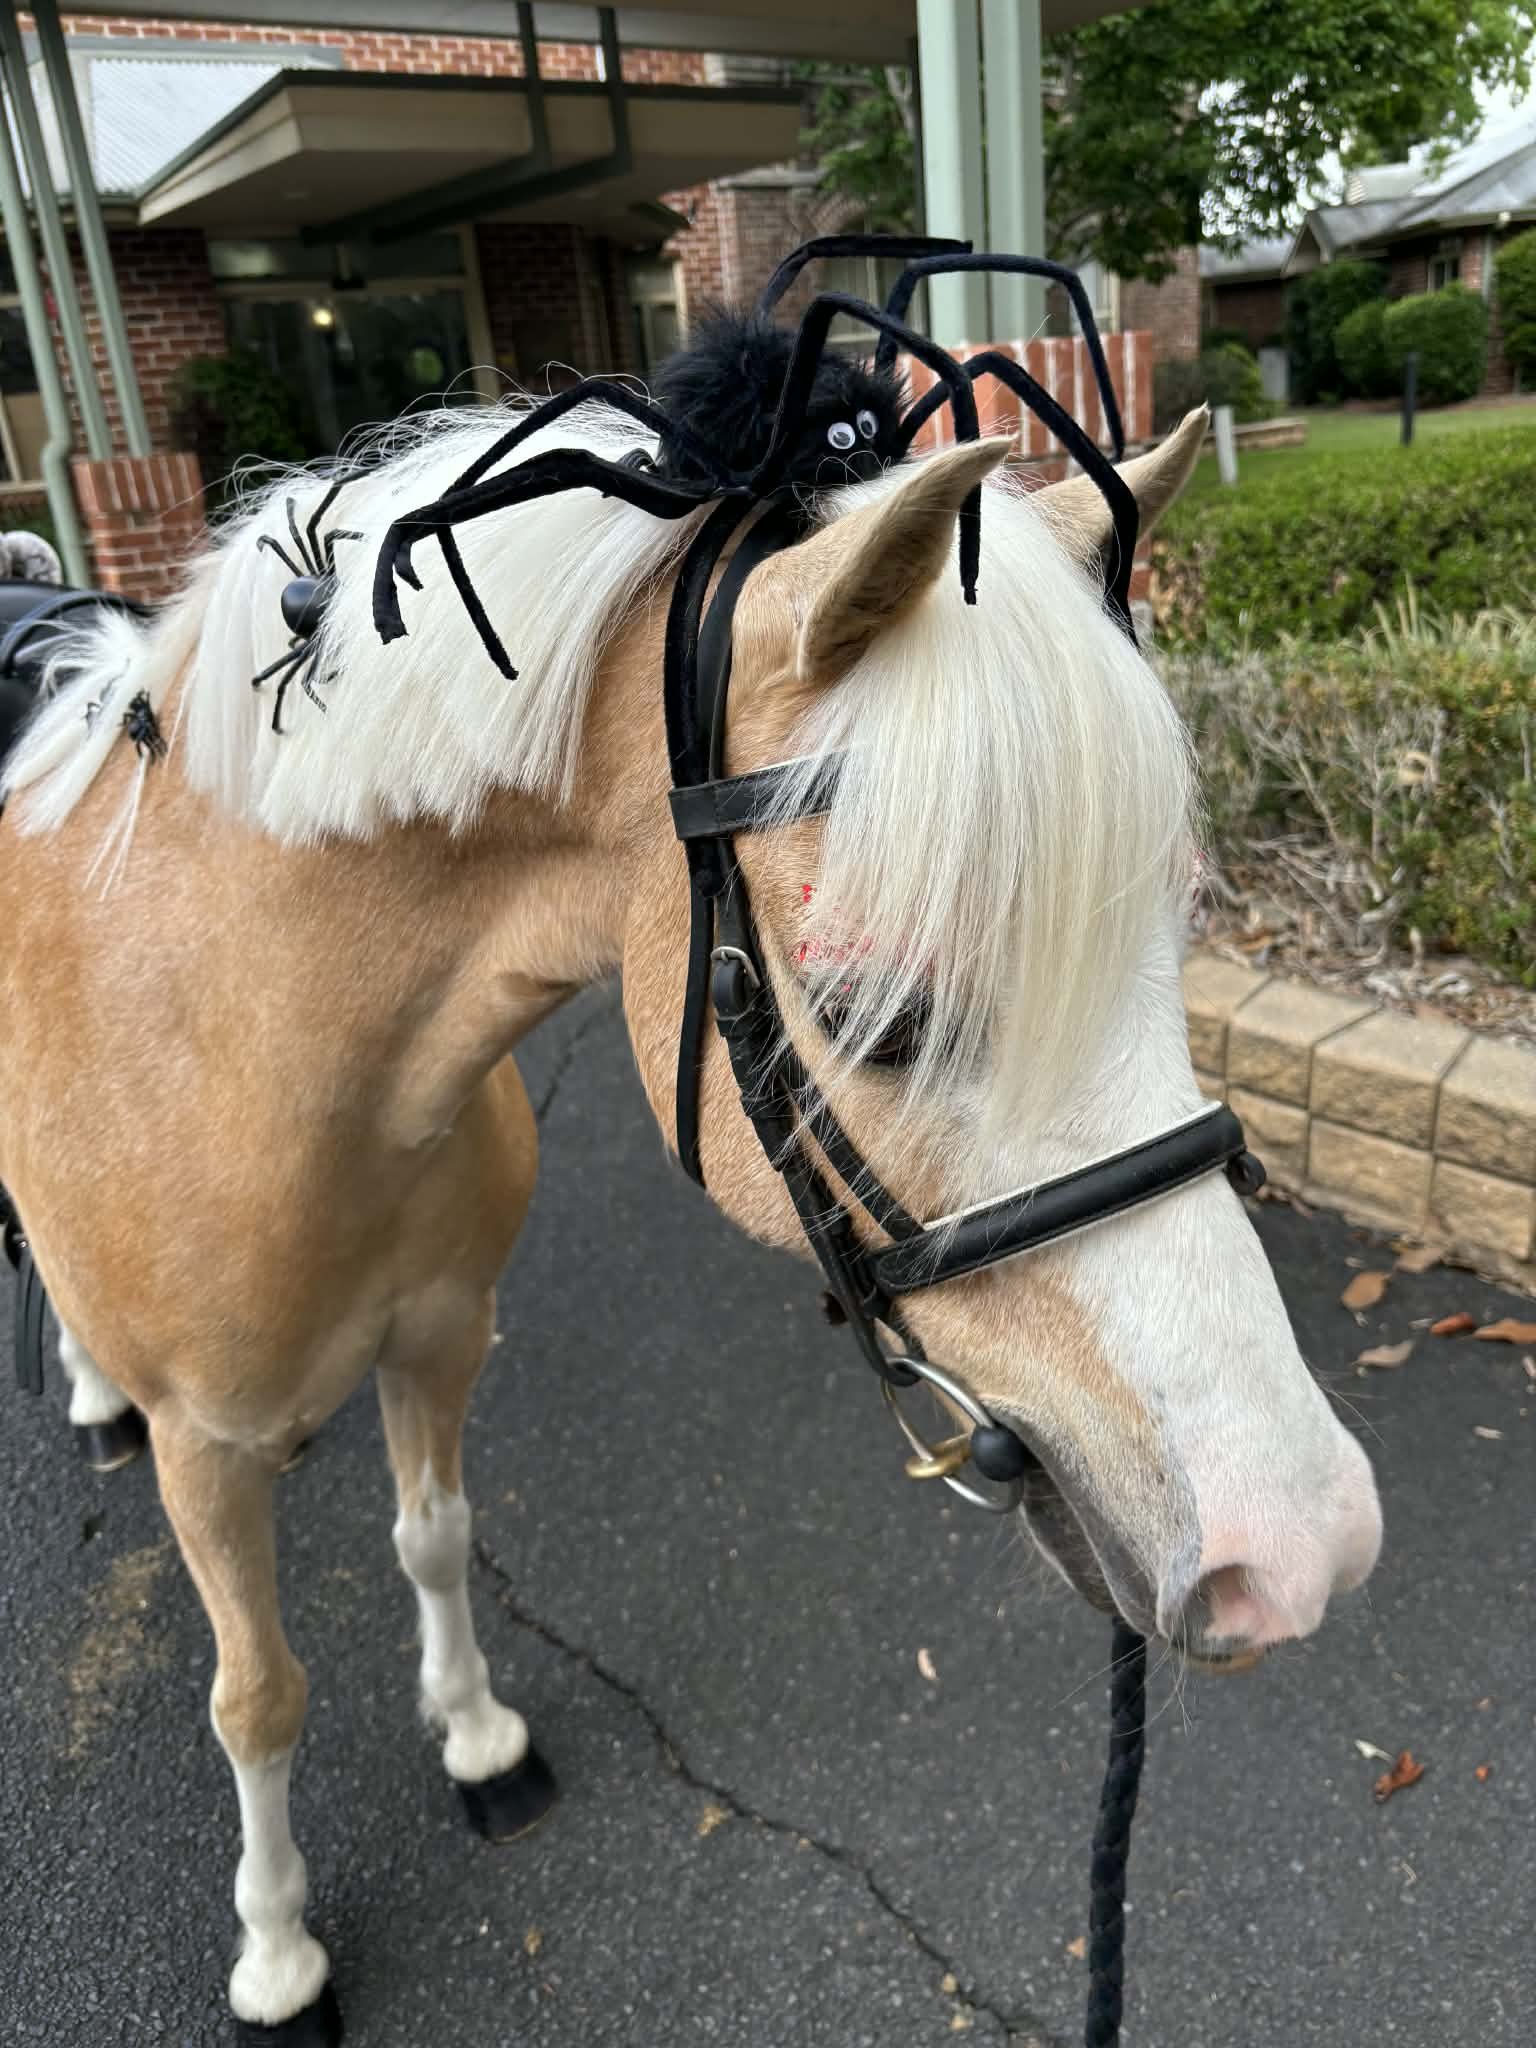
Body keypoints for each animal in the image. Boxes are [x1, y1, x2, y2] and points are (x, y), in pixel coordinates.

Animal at [0, 398, 1382, 2043]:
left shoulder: (441, 1337)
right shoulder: (206, 1452)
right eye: (877, 1017)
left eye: (1179, 935)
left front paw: (477, 1738)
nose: (1300, 1546)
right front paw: (278, 1951)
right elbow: (256, 1693)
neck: (259, 1050)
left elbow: (437, 1538)